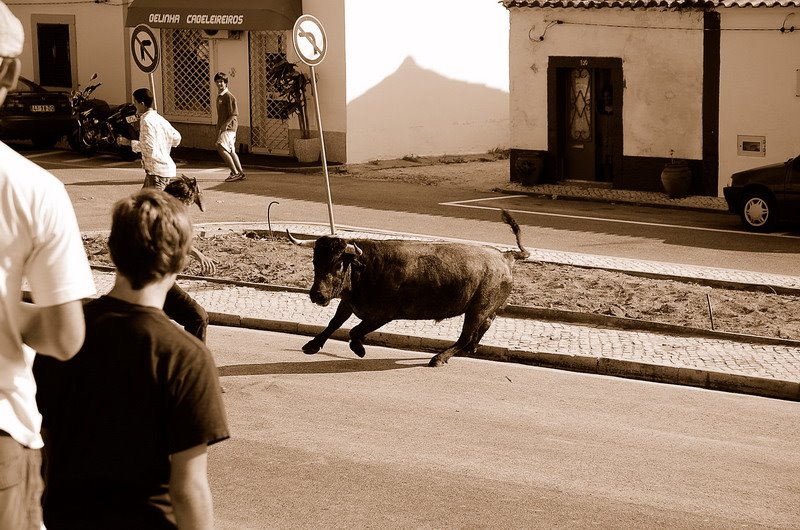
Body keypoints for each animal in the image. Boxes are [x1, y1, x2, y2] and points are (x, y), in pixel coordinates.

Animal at [290, 208, 532, 366]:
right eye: (315, 262)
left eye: (338, 264)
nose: (317, 295)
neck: (367, 268)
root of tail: (506, 256)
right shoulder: (348, 303)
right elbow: (334, 323)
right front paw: (312, 345)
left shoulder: (382, 314)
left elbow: (354, 330)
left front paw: (359, 349)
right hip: (486, 309)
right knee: (485, 326)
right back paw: (470, 349)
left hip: (476, 309)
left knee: (466, 335)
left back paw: (439, 358)